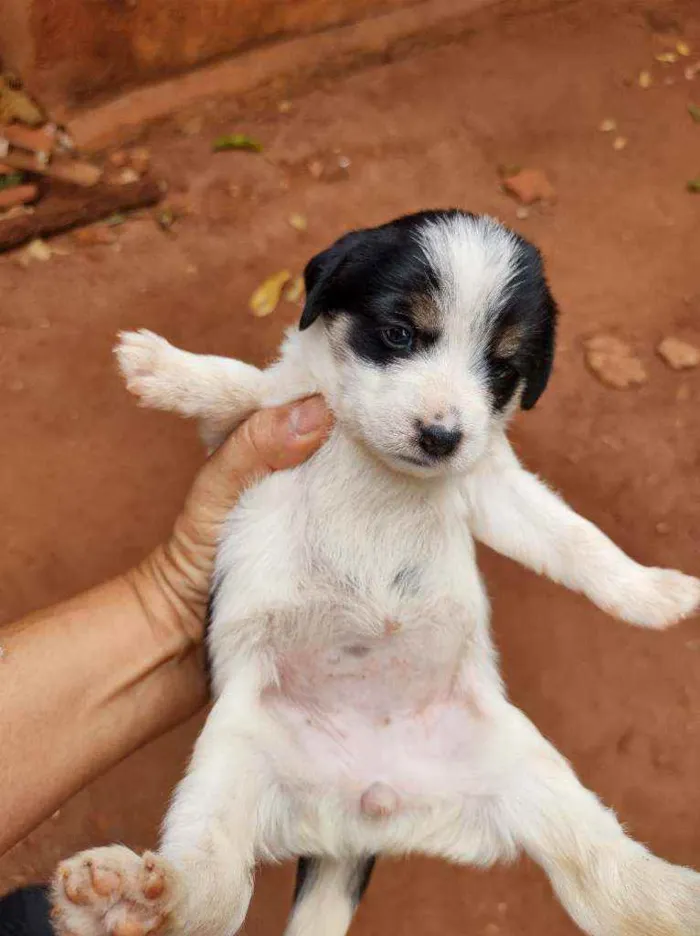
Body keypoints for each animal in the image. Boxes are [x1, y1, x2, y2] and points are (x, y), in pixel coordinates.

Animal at [50, 210, 700, 936]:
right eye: (399, 334)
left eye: (502, 367)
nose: (441, 437)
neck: (374, 463)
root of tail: (364, 813)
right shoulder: (256, 425)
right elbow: (241, 381)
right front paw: (166, 366)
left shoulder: (492, 483)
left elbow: (577, 539)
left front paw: (653, 591)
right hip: (229, 765)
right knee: (210, 891)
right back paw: (128, 896)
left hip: (531, 774)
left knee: (611, 880)